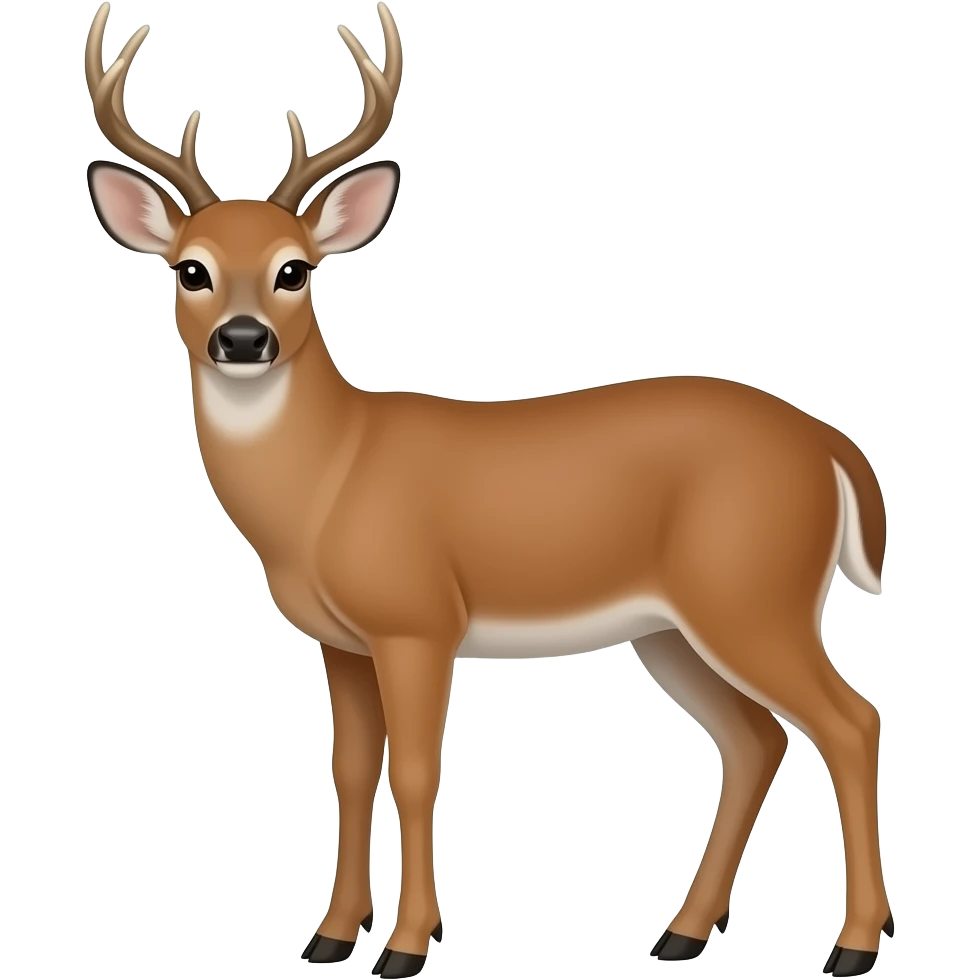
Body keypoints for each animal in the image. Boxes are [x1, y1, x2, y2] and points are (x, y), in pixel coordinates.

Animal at [83, 3, 892, 977]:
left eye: (295, 268)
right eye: (191, 268)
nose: (243, 340)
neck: (328, 478)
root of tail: (832, 445)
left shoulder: (419, 619)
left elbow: (416, 773)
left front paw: (406, 945)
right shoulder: (343, 643)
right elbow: (350, 773)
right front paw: (329, 935)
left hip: (753, 592)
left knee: (850, 723)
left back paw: (852, 944)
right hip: (673, 628)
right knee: (756, 739)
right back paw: (682, 933)